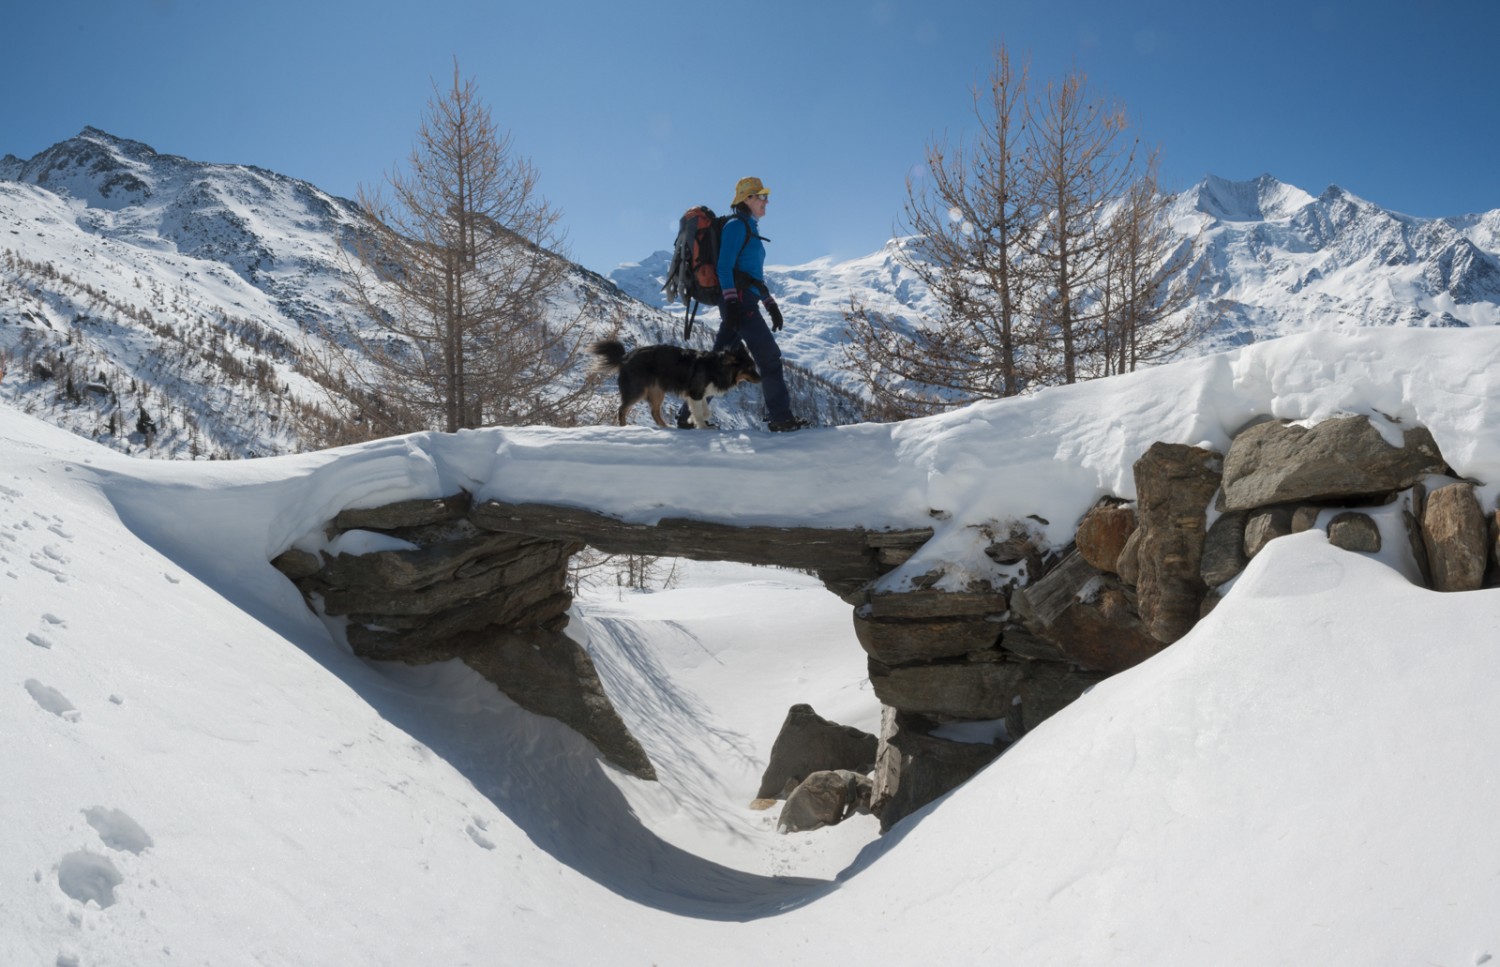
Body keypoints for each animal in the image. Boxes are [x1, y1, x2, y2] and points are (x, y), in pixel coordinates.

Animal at [591, 341, 768, 428]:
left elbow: (705, 412)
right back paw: (624, 427)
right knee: (622, 409)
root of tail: (625, 357)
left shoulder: (699, 394)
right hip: (637, 390)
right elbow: (700, 413)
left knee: (654, 412)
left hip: (657, 392)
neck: (716, 367)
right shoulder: (695, 393)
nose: (761, 379)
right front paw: (703, 427)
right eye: (750, 368)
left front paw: (691, 421)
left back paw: (666, 427)